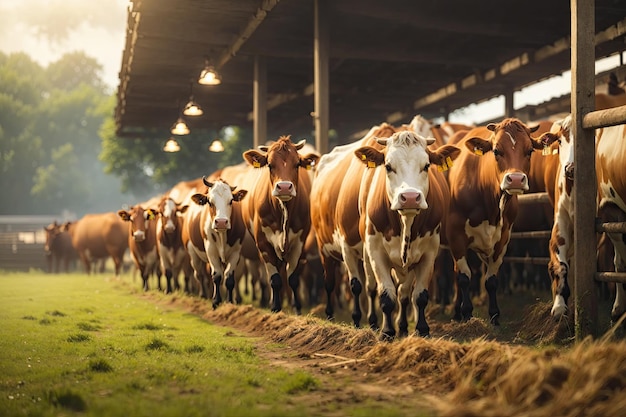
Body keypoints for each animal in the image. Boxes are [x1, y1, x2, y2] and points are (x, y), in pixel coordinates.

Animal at [183, 176, 246, 306]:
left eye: (231, 201)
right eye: (210, 202)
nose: (221, 222)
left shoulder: (236, 252)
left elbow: (229, 278)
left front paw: (229, 301)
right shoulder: (211, 250)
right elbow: (216, 276)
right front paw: (216, 301)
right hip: (193, 253)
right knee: (199, 274)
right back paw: (203, 295)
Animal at [239, 136, 316, 312]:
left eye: (297, 164)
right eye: (270, 164)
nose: (285, 187)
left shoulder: (299, 243)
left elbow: (293, 278)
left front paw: (296, 307)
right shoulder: (263, 244)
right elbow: (274, 279)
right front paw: (275, 307)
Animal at [444, 117, 552, 324]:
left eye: (529, 150)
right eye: (496, 151)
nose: (516, 179)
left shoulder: (503, 237)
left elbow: (492, 280)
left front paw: (494, 316)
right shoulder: (455, 235)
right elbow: (463, 277)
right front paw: (467, 313)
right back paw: (456, 310)